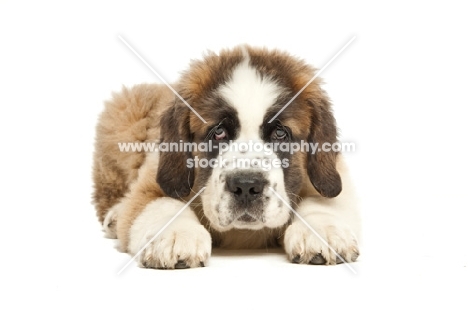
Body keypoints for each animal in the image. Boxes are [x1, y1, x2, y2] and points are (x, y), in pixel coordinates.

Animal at [93, 45, 360, 268]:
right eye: (218, 132)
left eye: (280, 133)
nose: (246, 187)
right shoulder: (153, 177)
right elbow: (161, 202)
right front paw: (176, 235)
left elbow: (321, 200)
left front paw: (322, 231)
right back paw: (115, 216)